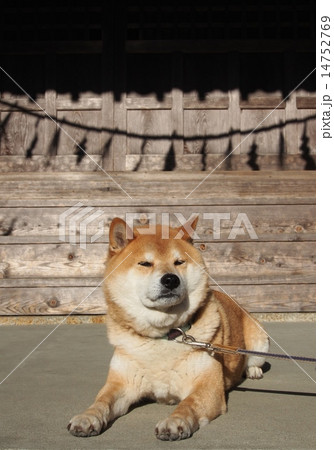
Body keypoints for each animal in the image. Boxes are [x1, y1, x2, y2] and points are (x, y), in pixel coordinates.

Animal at [68, 216, 268, 442]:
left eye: (179, 262)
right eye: (145, 263)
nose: (171, 279)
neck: (165, 335)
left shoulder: (207, 386)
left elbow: (188, 405)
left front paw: (176, 421)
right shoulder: (121, 383)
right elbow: (101, 401)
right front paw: (87, 417)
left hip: (260, 343)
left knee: (253, 359)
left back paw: (253, 370)